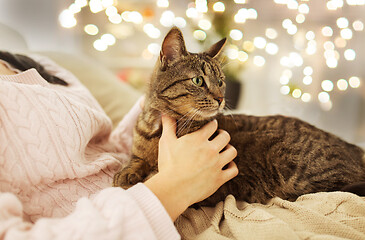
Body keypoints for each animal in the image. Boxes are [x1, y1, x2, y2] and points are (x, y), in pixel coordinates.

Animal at [112, 26, 362, 206]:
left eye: (221, 81)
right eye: (198, 81)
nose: (221, 98)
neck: (159, 127)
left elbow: (154, 177)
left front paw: (140, 179)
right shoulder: (139, 149)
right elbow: (137, 160)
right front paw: (127, 172)